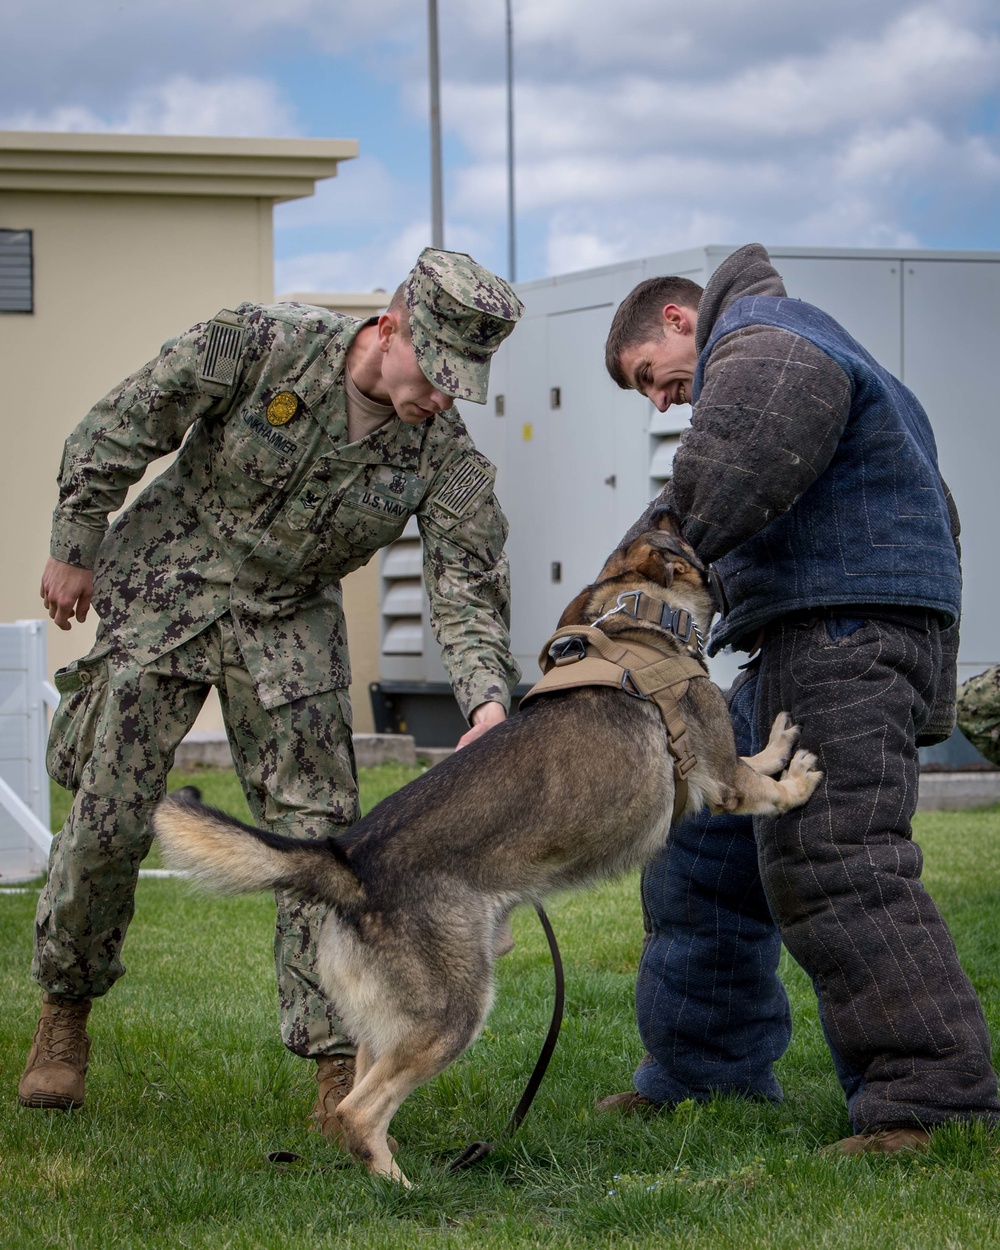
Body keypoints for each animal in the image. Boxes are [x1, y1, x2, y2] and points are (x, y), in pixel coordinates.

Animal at [154, 507, 820, 1180]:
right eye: (676, 537)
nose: (667, 508)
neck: (642, 619)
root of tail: (347, 861)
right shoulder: (723, 781)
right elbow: (760, 782)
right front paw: (797, 777)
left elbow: (756, 756)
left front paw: (781, 741)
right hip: (453, 1015)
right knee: (358, 1112)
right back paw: (404, 1185)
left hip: (387, 1021)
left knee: (351, 1102)